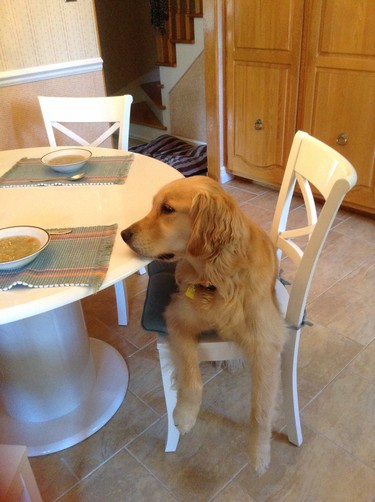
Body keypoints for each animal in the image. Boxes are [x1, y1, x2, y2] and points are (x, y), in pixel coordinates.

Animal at [122, 176, 286, 474]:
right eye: (153, 206)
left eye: (167, 209)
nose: (124, 234)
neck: (219, 276)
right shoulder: (178, 318)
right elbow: (191, 376)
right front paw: (185, 415)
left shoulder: (266, 345)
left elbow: (260, 410)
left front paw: (259, 455)